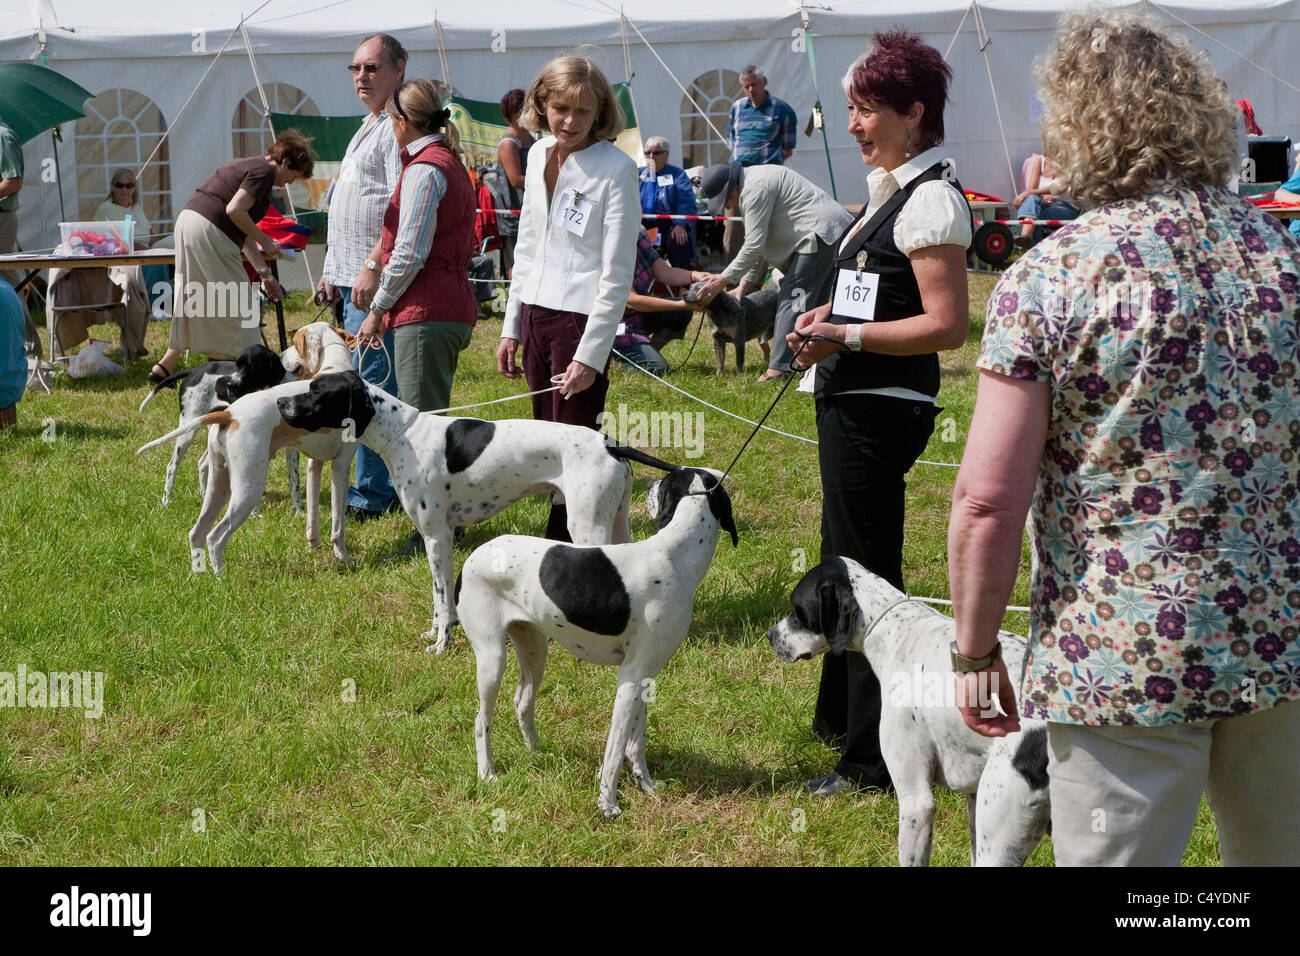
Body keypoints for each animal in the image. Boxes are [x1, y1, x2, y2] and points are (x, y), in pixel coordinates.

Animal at [276, 369, 642, 655]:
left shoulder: (438, 537)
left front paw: (442, 644)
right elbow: (437, 596)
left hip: (587, 527)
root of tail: (609, 443)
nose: (279, 402)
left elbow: (442, 596)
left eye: (316, 390)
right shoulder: (432, 538)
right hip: (615, 522)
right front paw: (434, 632)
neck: (404, 434)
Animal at [454, 468, 738, 816]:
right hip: (493, 659)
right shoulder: (629, 679)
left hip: (535, 650)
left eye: (665, 480)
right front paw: (608, 802)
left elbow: (636, 742)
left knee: (522, 701)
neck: (672, 556)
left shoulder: (644, 677)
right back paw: (487, 774)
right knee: (481, 721)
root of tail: (473, 557)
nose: (648, 483)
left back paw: (538, 752)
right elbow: (616, 748)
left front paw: (646, 785)